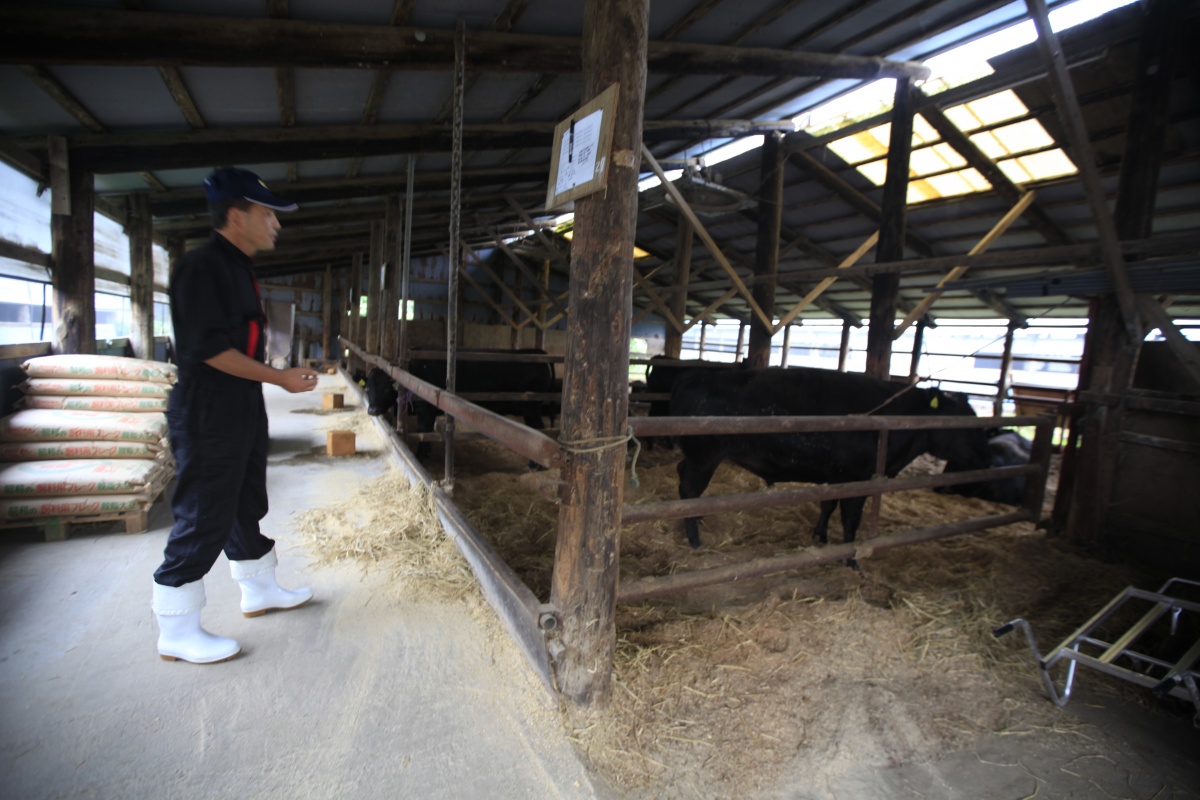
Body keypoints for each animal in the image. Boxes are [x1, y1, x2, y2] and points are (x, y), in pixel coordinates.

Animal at [672, 367, 988, 561]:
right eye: (964, 421)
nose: (988, 455)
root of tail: (696, 376)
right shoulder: (857, 478)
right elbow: (851, 519)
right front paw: (851, 559)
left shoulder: (835, 476)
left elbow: (828, 505)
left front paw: (820, 535)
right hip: (705, 455)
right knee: (690, 489)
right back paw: (695, 539)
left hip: (698, 456)